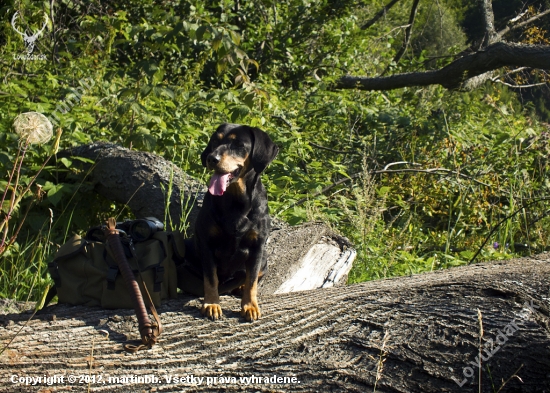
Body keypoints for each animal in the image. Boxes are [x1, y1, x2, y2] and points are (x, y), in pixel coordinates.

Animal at [195, 123, 280, 322]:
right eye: (215, 140)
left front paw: (250, 306)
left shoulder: (257, 247)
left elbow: (252, 281)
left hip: (264, 259)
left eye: (239, 145)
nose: (212, 158)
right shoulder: (206, 244)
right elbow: (211, 278)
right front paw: (211, 304)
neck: (236, 201)